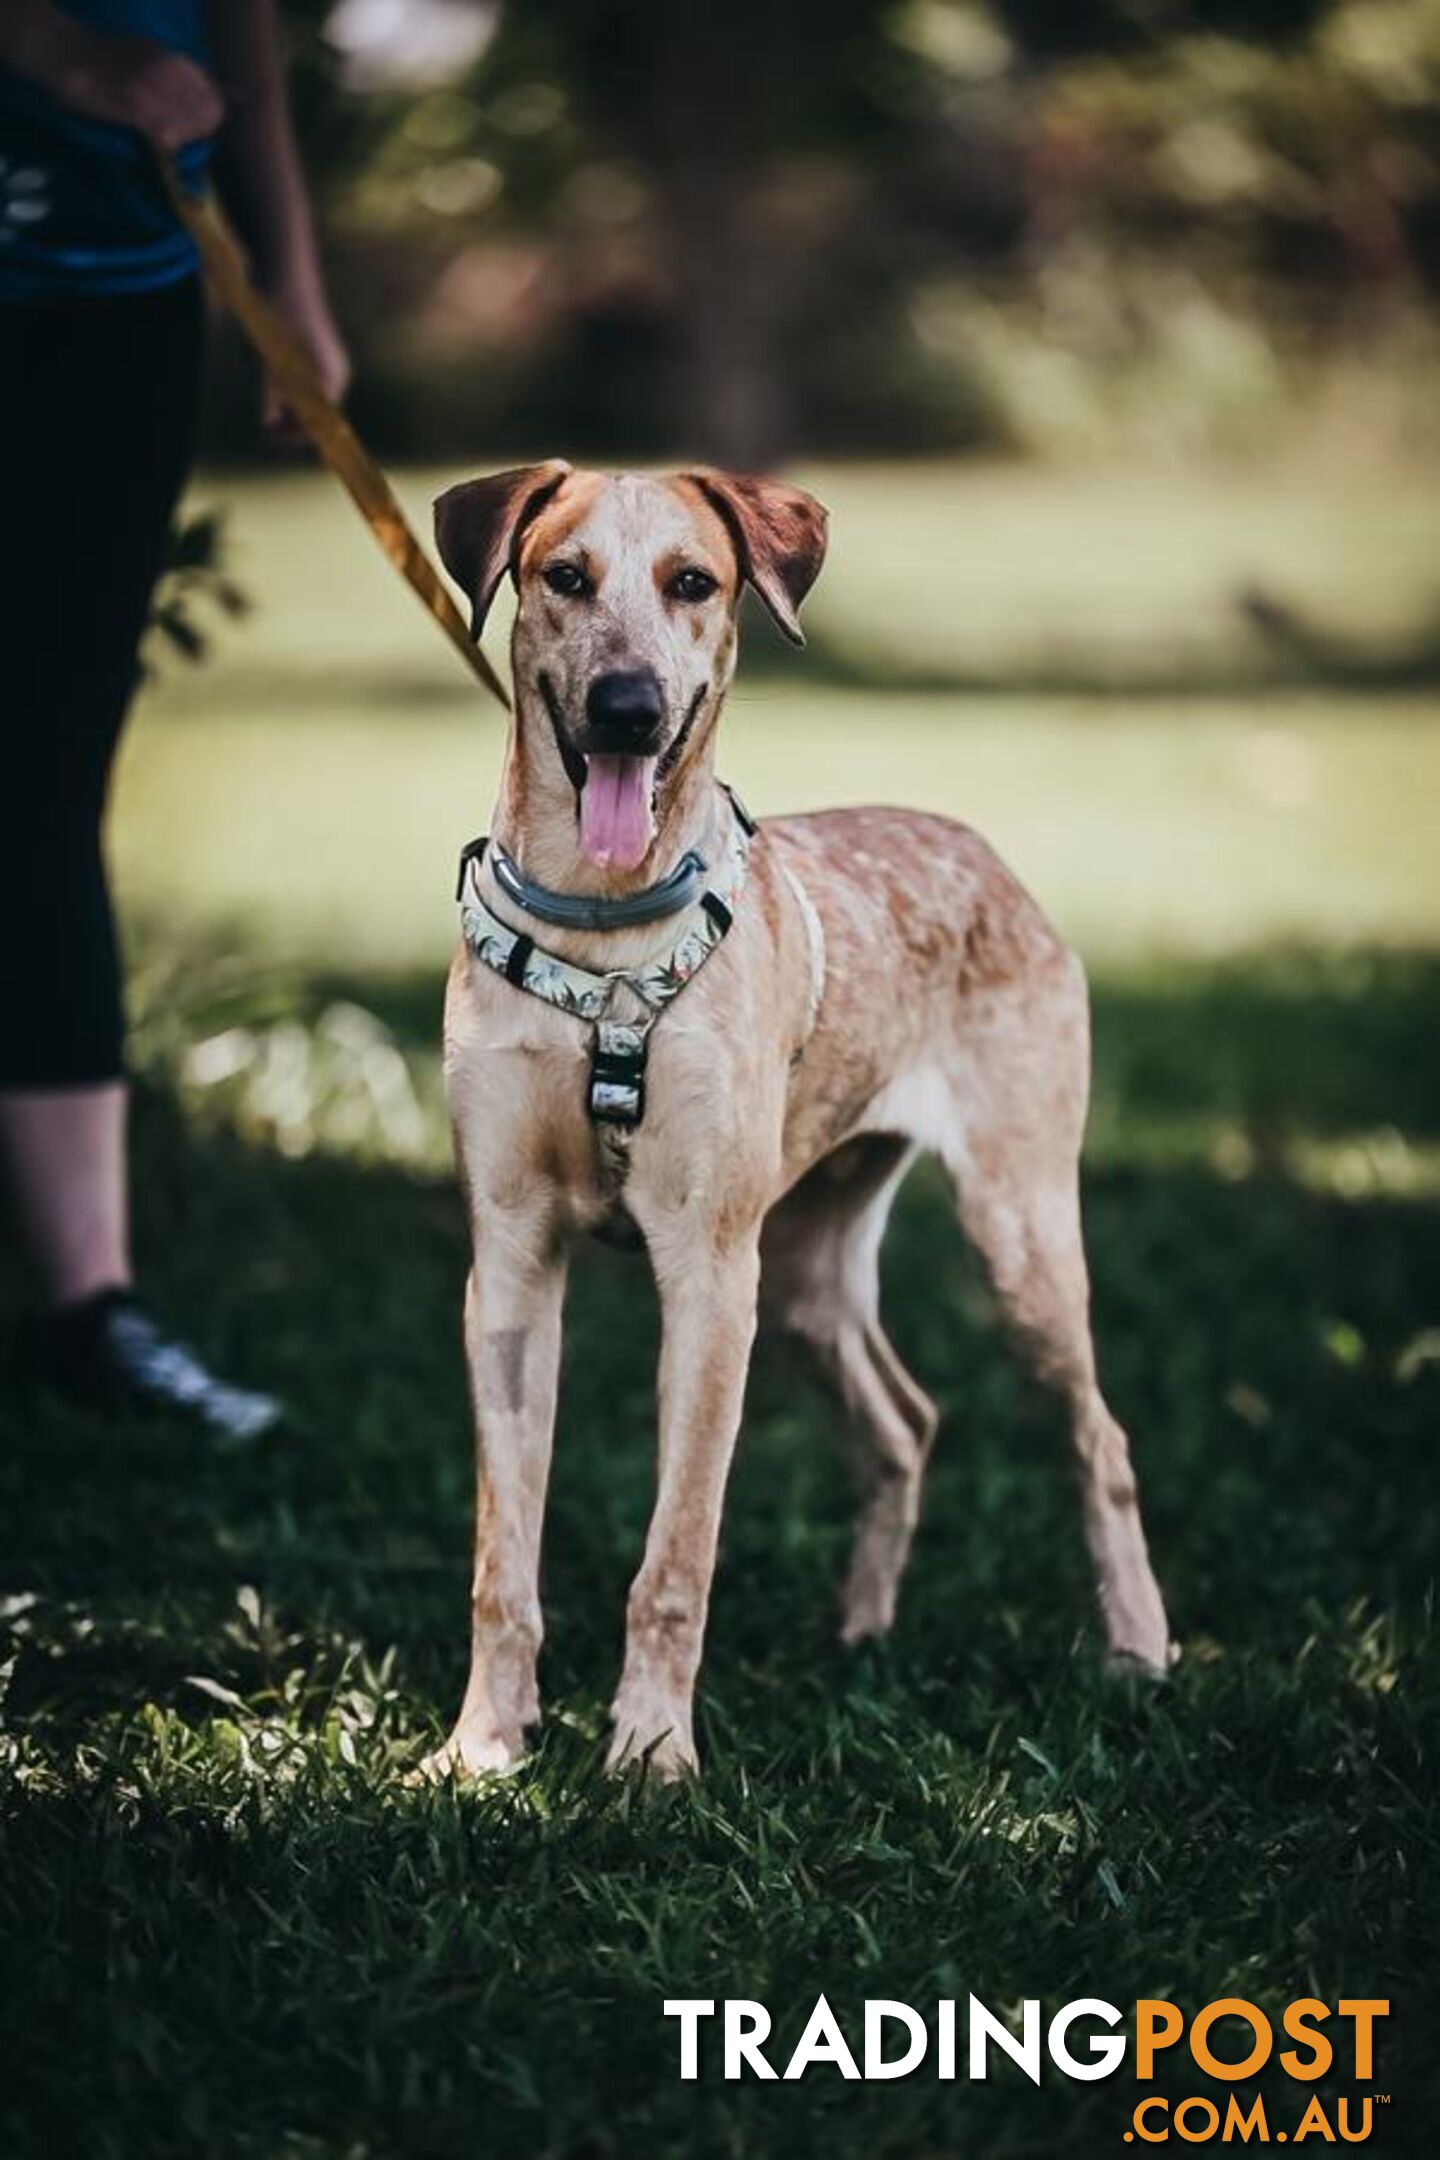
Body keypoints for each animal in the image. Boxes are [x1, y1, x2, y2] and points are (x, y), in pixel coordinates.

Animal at [427, 464, 1174, 1779]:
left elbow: (677, 1556)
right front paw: (484, 1745)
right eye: (564, 576)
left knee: (1101, 1440)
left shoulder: (709, 1275)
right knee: (905, 1423)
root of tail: (986, 851)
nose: (627, 709)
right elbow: (501, 1559)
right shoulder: (510, 1267)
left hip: (1016, 1234)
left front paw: (650, 1756)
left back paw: (1136, 1647)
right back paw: (860, 1635)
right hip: (813, 1268)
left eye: (694, 582)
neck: (600, 928)